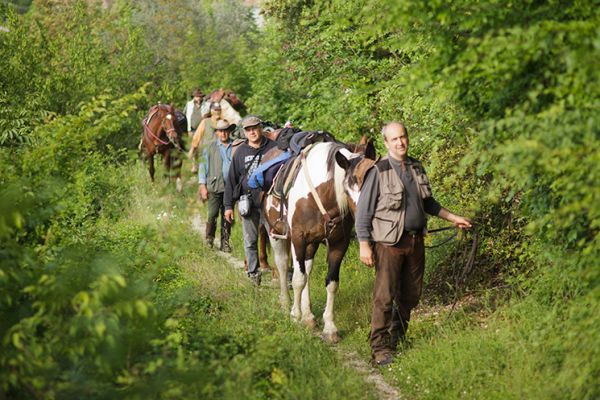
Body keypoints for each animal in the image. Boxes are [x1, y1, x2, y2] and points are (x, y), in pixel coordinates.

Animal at [264, 139, 376, 342]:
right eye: (347, 190)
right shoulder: (298, 238)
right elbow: (298, 279)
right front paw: (295, 316)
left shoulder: (339, 243)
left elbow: (331, 284)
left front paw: (330, 328)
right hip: (275, 234)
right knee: (283, 265)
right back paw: (286, 304)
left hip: (312, 243)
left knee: (307, 269)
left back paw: (308, 316)